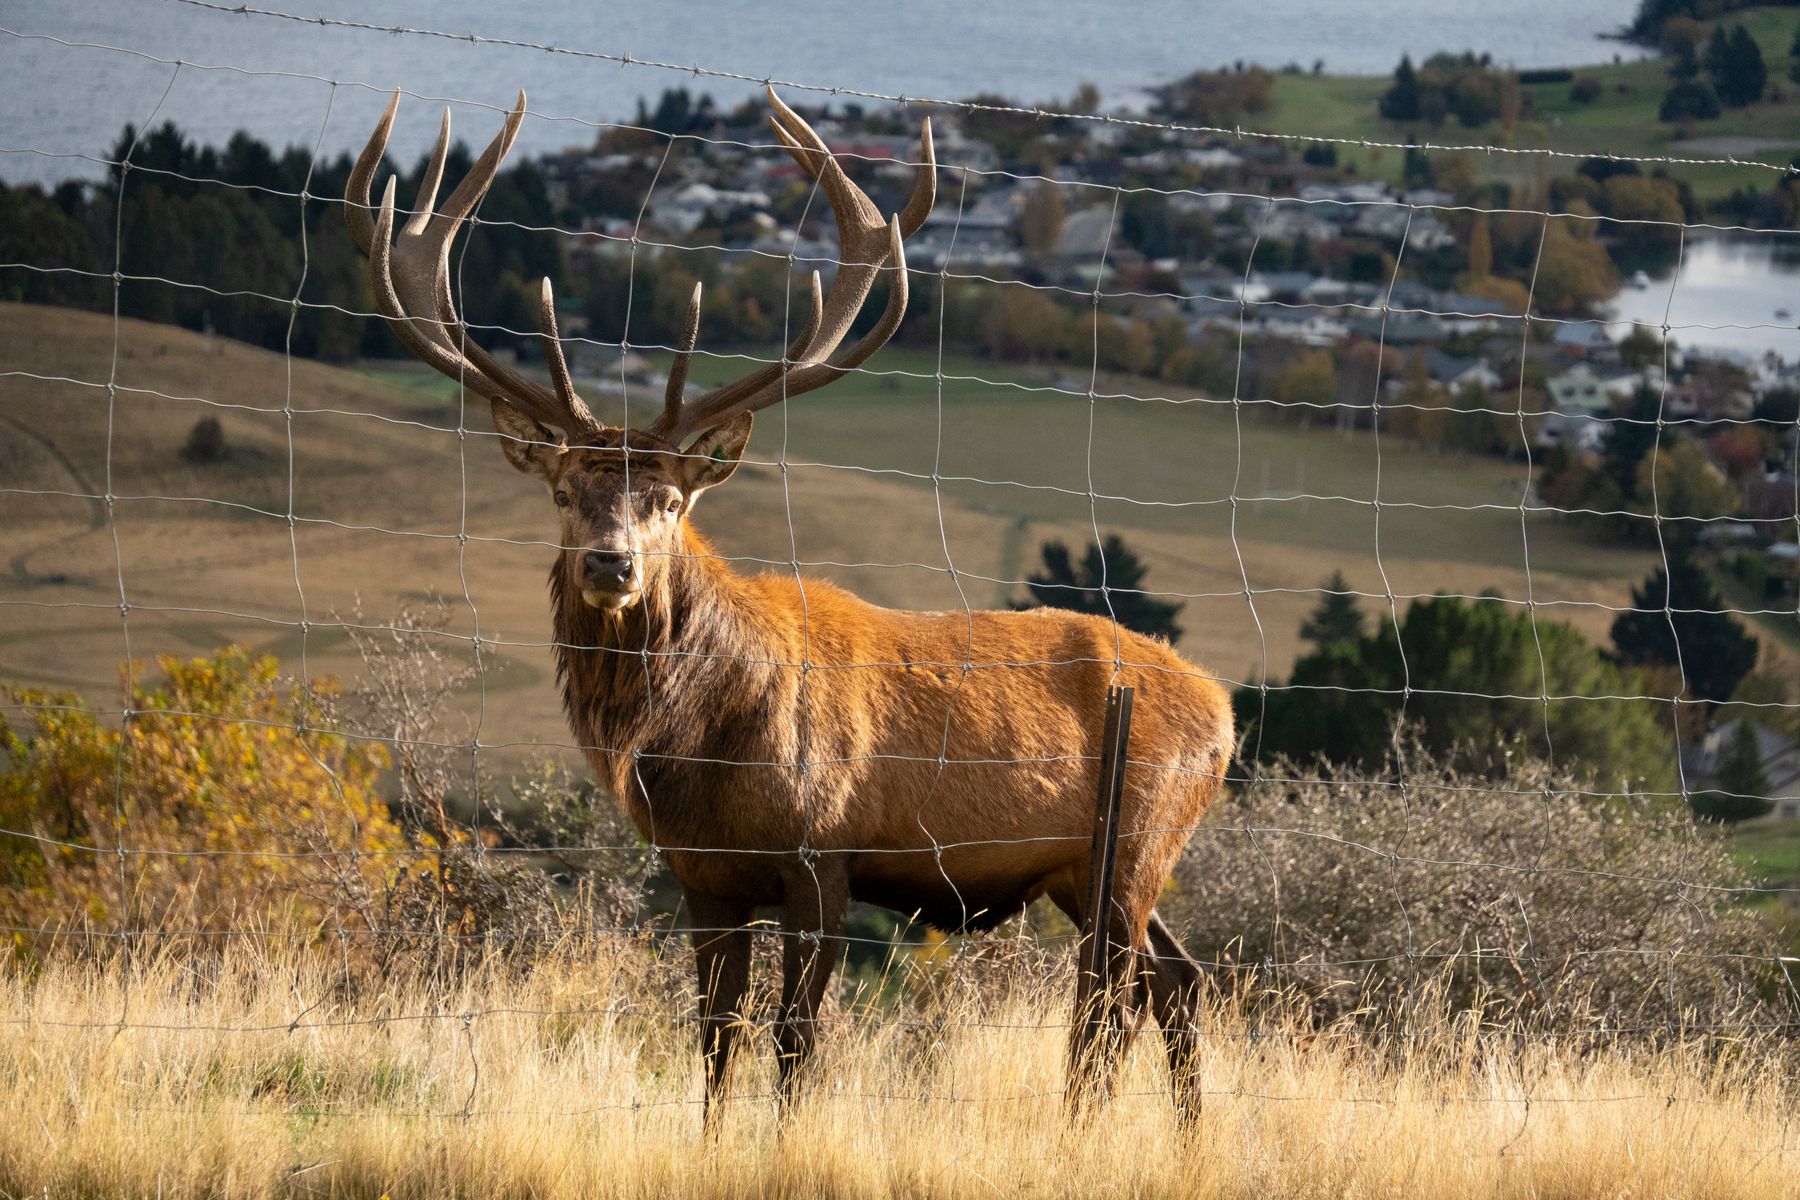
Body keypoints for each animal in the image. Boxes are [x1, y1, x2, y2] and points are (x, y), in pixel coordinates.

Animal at [344, 87, 1234, 1125]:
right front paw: (713, 1137)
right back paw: (1182, 1134)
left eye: (668, 500)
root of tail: (1225, 711)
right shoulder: (703, 876)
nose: (611, 564)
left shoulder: (825, 853)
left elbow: (796, 1039)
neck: (700, 750)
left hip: (1135, 840)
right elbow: (713, 1037)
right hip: (1087, 869)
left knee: (1114, 1001)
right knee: (1176, 981)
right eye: (565, 493)